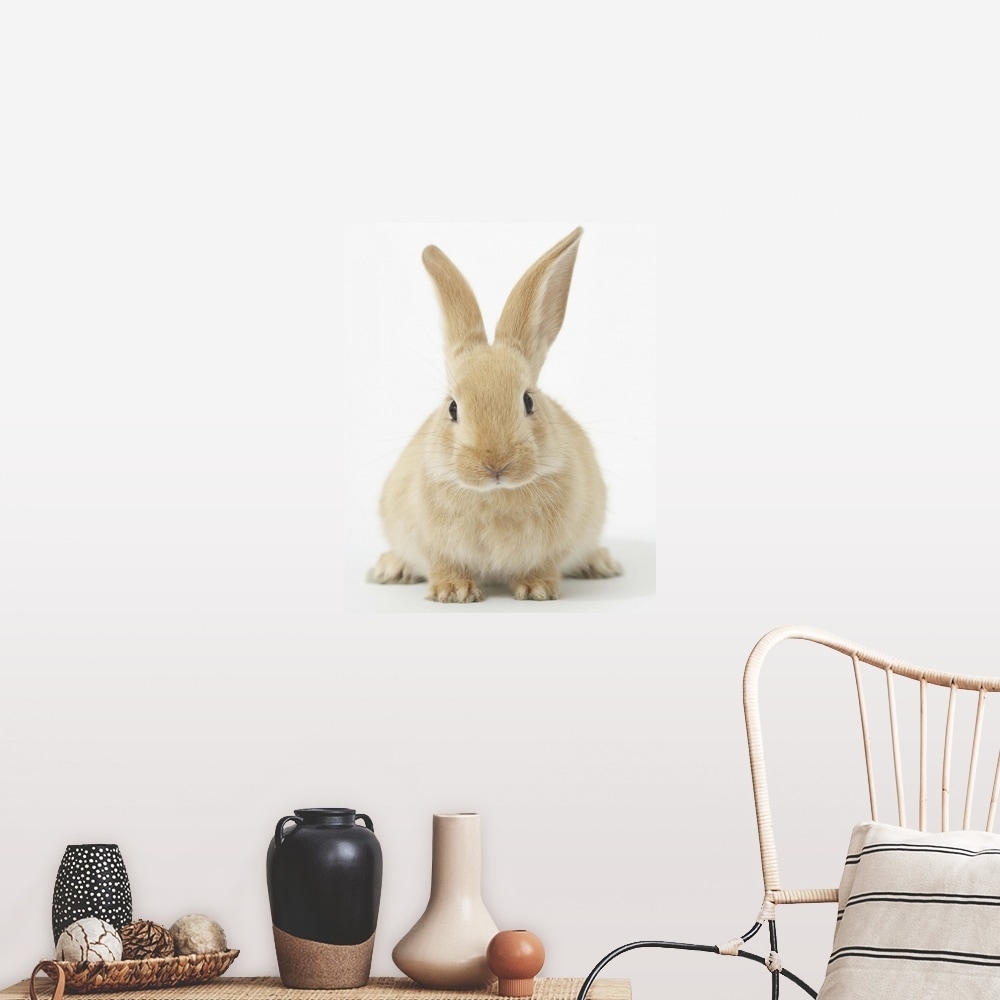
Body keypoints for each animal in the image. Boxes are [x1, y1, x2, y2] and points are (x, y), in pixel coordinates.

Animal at [371, 226, 622, 602]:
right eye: (452, 407)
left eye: (529, 401)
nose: (495, 464)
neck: (494, 494)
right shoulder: (435, 546)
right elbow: (444, 564)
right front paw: (453, 592)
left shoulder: (552, 548)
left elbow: (542, 566)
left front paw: (537, 590)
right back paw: (390, 569)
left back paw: (602, 563)